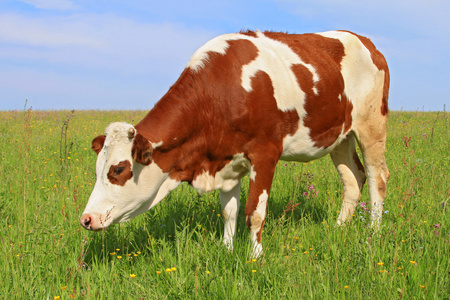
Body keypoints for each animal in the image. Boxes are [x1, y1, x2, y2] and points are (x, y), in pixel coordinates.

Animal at [81, 31, 390, 260]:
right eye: (97, 169)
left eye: (118, 170)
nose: (86, 219)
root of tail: (367, 42)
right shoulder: (226, 160)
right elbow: (229, 210)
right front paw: (227, 250)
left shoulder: (265, 154)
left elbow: (254, 212)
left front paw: (255, 257)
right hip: (340, 137)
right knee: (353, 179)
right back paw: (338, 229)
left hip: (371, 126)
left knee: (377, 178)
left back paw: (373, 233)